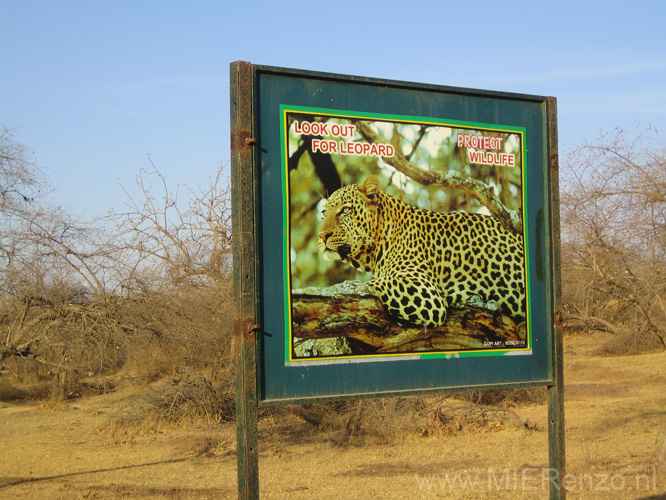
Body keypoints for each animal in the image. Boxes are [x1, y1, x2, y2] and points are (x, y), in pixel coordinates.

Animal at [316, 174, 524, 326]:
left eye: (345, 210)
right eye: (323, 213)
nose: (322, 235)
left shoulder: (426, 291)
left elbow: (371, 284)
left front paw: (336, 290)